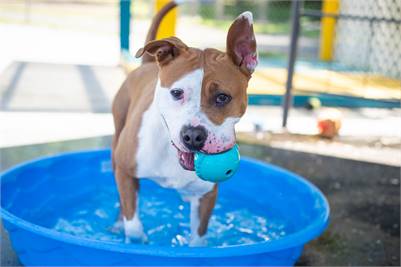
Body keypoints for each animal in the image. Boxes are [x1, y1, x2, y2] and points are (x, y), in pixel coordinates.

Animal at [111, 1, 258, 248]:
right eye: (177, 93)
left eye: (222, 97)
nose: (193, 136)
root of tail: (148, 64)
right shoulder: (125, 171)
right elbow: (134, 225)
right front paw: (137, 240)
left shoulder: (207, 195)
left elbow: (198, 239)